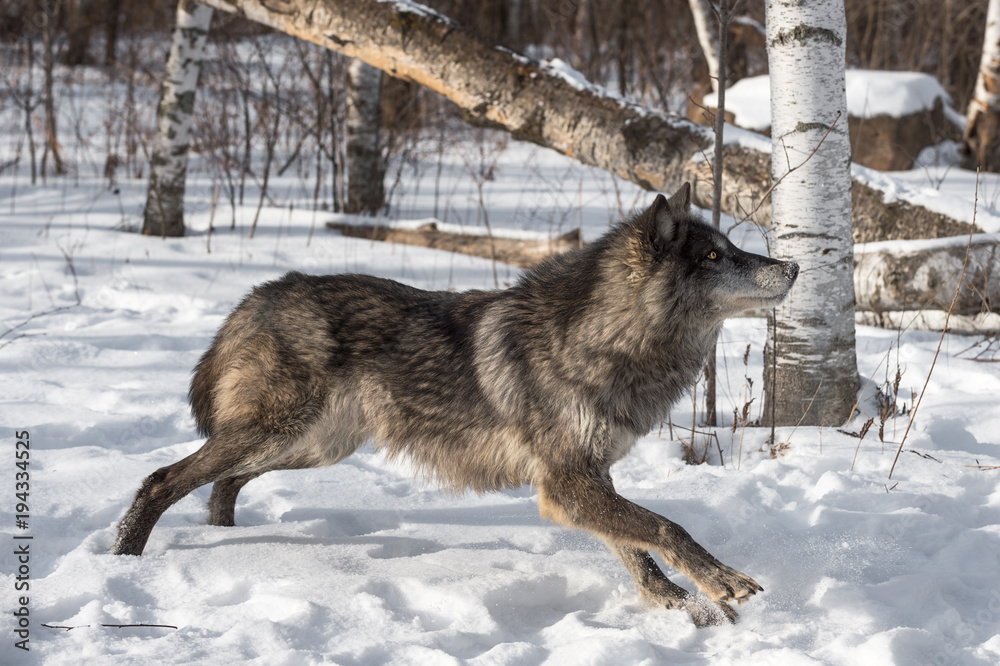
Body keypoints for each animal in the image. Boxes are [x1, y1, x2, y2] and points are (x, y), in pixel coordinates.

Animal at [113, 183, 798, 626]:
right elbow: (664, 526)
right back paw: (124, 564)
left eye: (730, 248)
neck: (601, 338)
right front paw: (722, 582)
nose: (791, 265)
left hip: (311, 447)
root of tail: (259, 294)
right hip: (280, 435)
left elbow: (634, 546)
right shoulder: (567, 485)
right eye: (715, 256)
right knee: (162, 479)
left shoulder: (586, 479)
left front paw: (681, 605)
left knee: (221, 484)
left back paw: (229, 542)